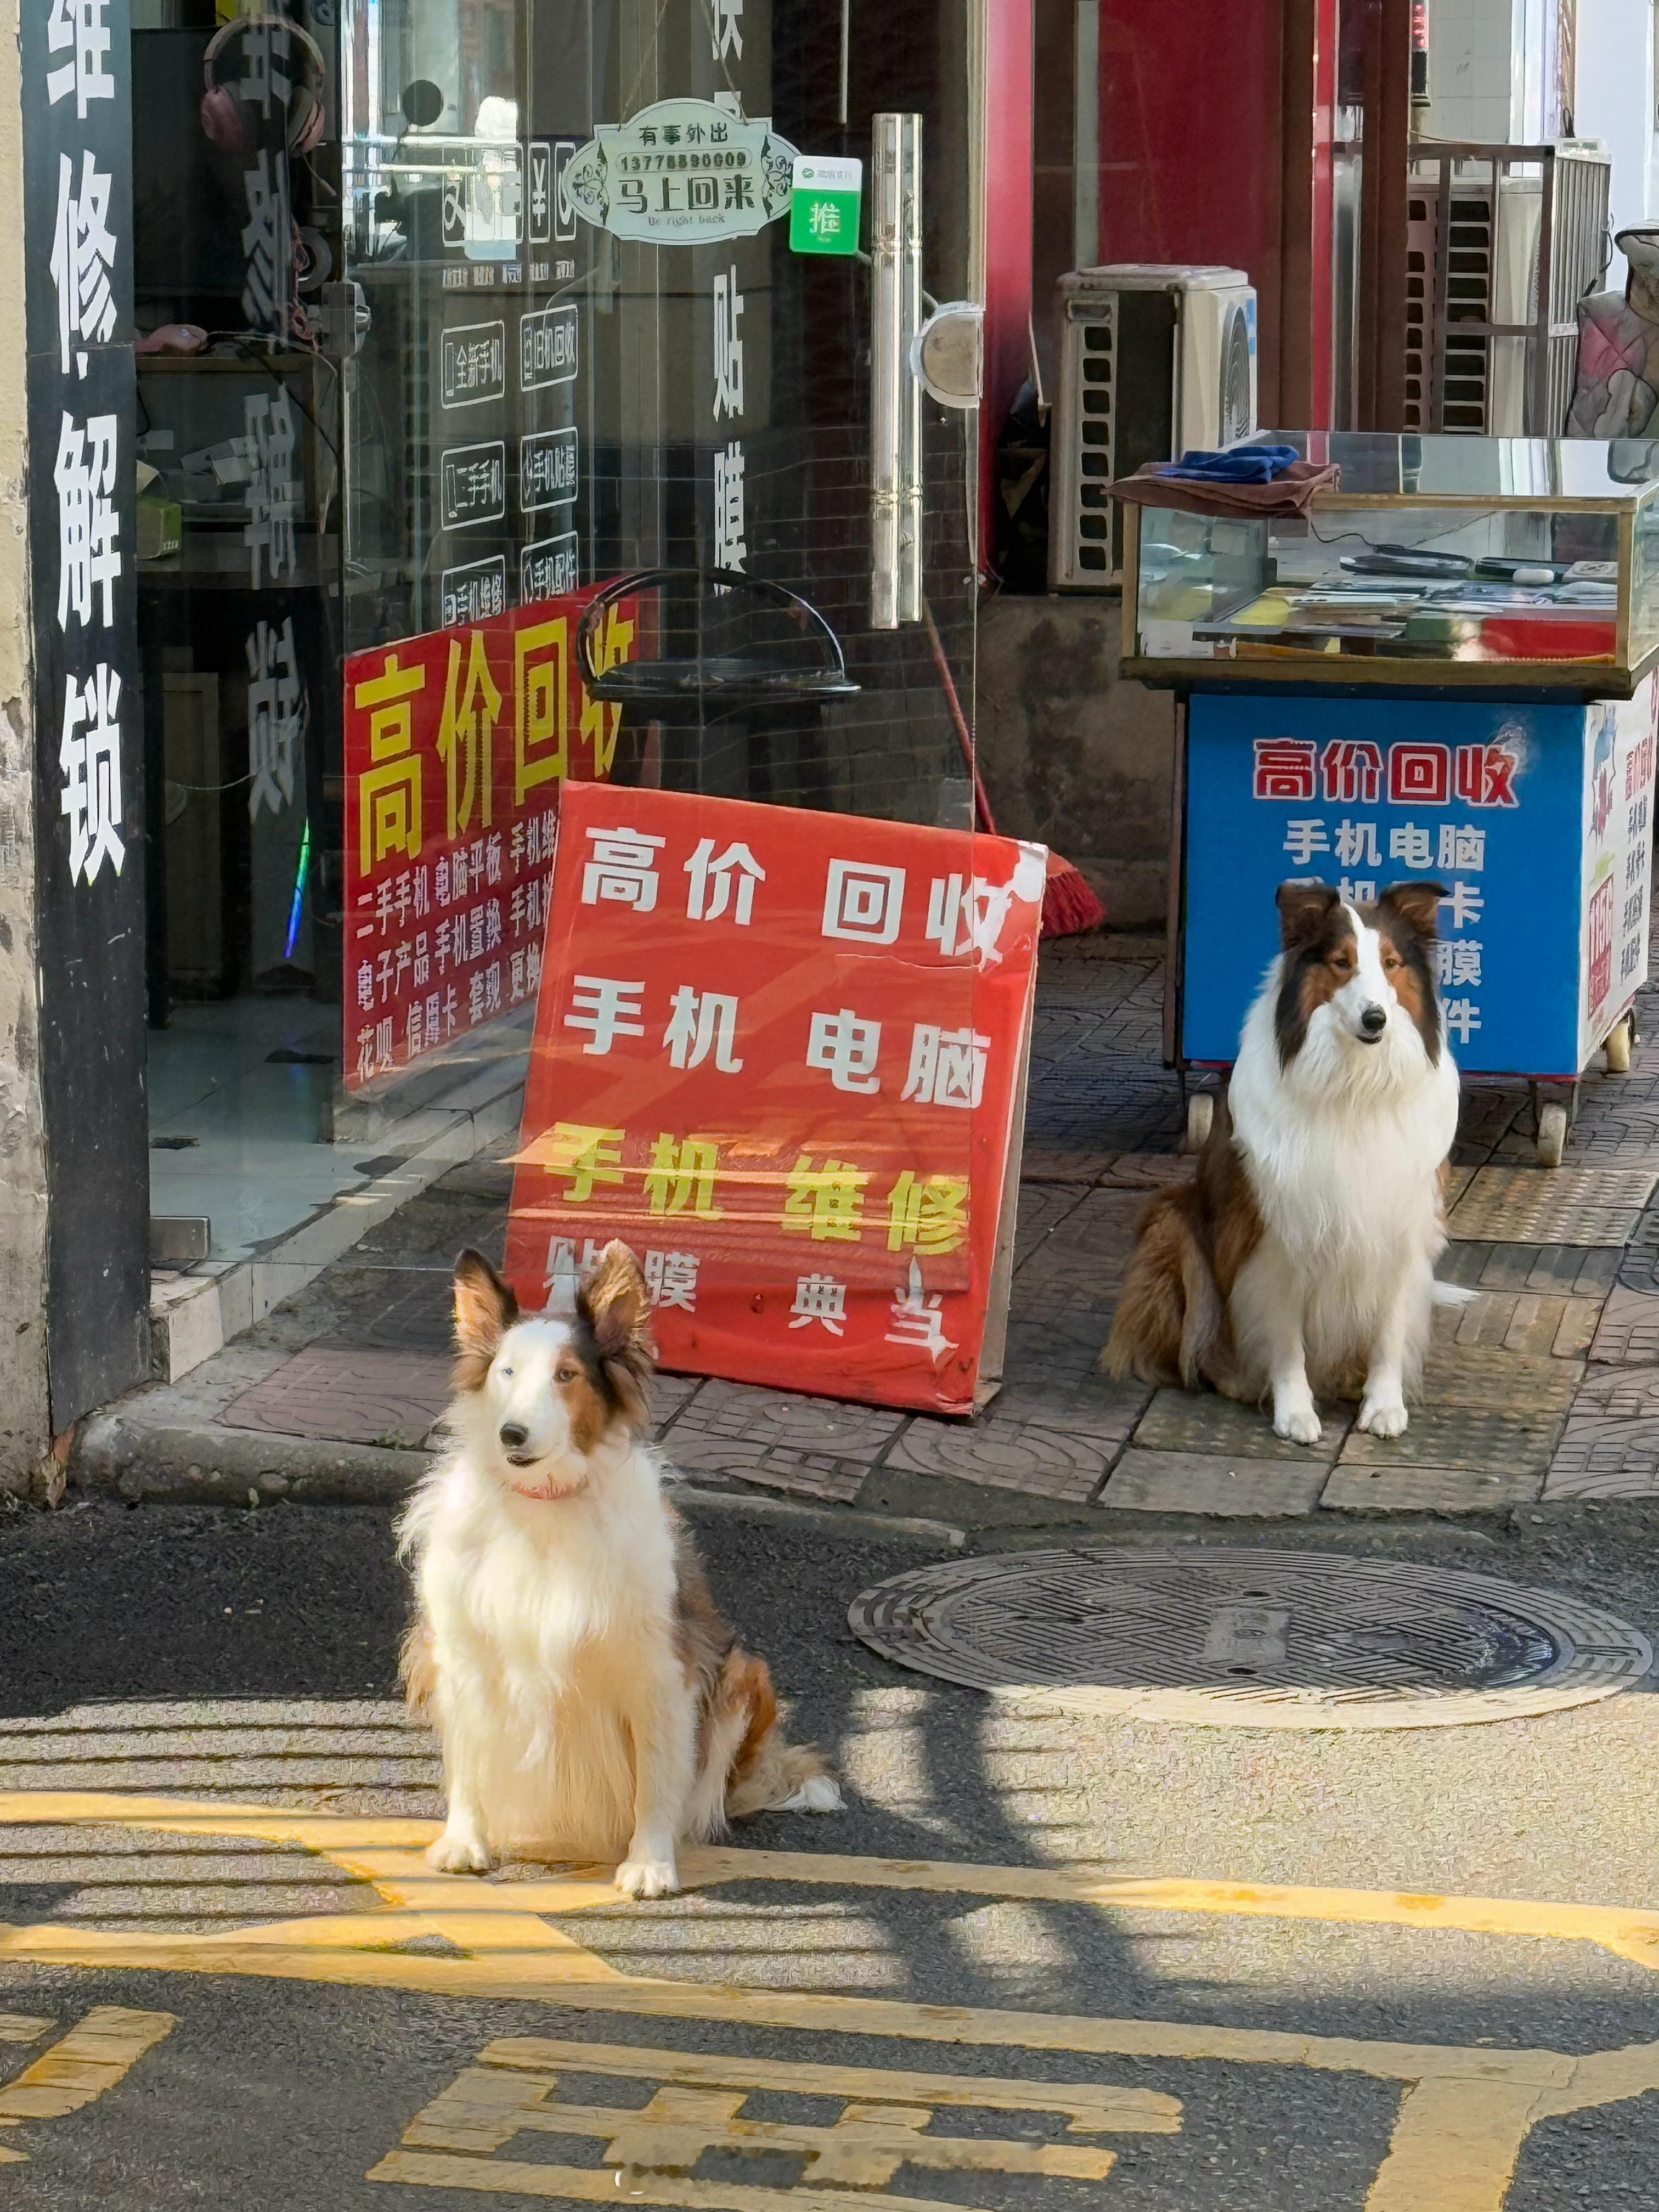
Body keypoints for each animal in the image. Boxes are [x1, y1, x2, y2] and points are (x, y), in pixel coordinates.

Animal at [396, 1238, 845, 1893]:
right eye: (506, 1371)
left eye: (566, 1375)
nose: (512, 1434)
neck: (546, 1504)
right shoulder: (465, 1655)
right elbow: (471, 1760)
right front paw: (464, 1841)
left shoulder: (659, 1669)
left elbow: (656, 1779)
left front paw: (650, 1863)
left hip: (743, 1670)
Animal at [1110, 880, 1460, 1451]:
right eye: (1341, 962)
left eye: (1390, 963)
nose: (1376, 1020)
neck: (1354, 1087)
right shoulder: (1275, 1232)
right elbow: (1284, 1335)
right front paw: (1293, 1410)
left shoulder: (1399, 1221)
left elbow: (1389, 1330)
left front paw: (1384, 1404)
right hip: (1172, 1221)